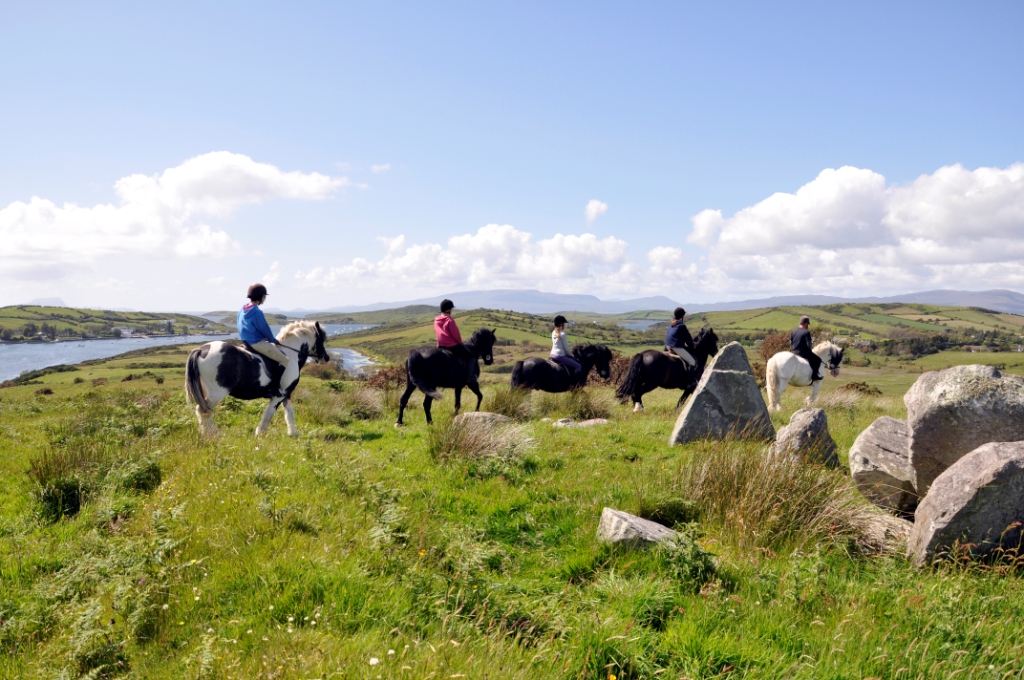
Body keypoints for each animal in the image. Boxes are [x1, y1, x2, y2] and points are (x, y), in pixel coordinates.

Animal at [182, 321, 327, 438]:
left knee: (203, 411)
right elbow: (269, 414)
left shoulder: (286, 394)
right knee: (204, 411)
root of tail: (202, 349)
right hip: (216, 393)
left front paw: (293, 433)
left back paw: (206, 433)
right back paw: (214, 434)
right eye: (322, 339)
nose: (326, 358)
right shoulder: (279, 395)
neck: (291, 355)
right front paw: (260, 433)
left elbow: (289, 414)